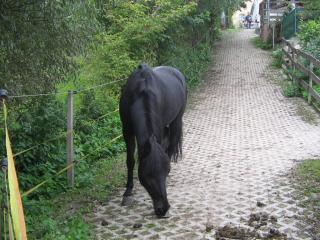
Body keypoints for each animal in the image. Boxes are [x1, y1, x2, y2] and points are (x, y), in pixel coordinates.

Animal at [119, 63, 186, 218]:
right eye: (147, 175)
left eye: (167, 170)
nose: (163, 209)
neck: (140, 93)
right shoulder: (127, 131)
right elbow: (130, 161)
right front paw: (128, 192)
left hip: (176, 121)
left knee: (171, 147)